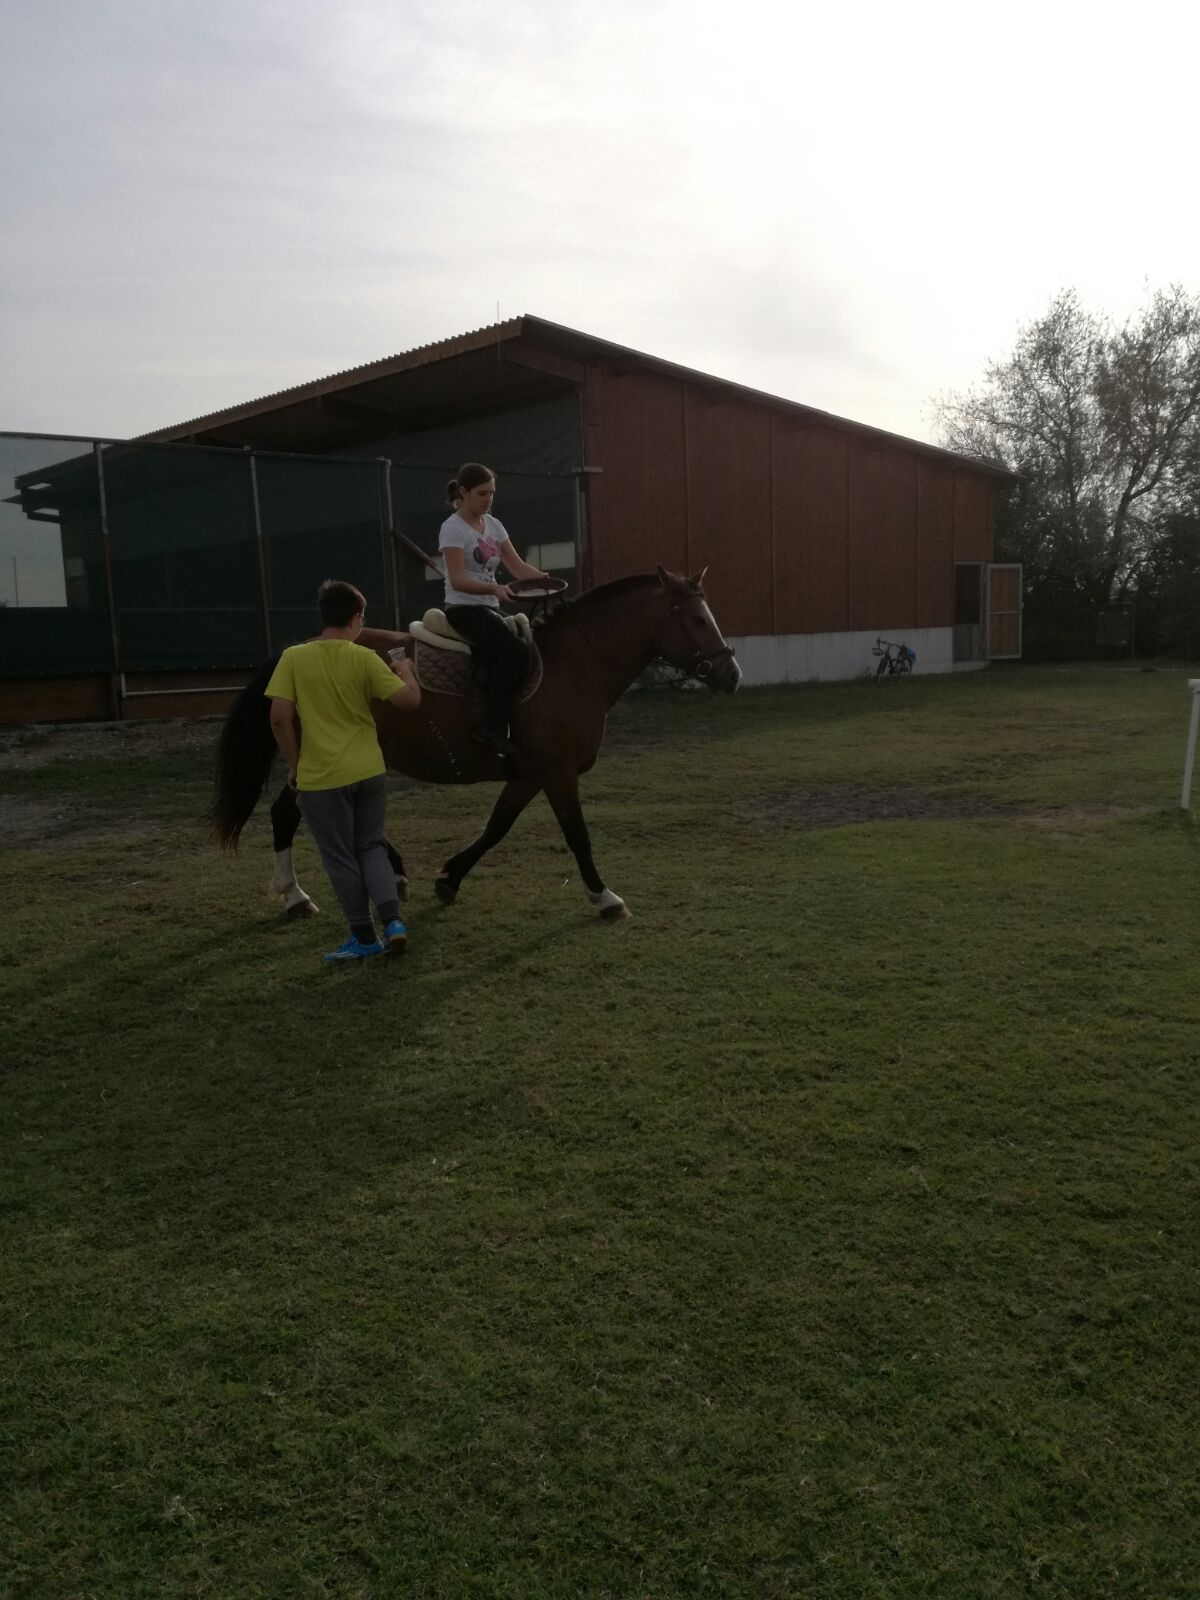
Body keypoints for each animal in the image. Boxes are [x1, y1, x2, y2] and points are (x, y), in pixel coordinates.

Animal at [211, 563, 748, 921]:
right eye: (698, 620)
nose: (732, 674)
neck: (573, 666)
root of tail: (293, 653)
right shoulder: (557, 773)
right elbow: (577, 834)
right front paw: (604, 897)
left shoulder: (529, 774)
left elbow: (496, 827)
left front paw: (449, 878)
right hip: (322, 759)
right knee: (290, 815)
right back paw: (296, 895)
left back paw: (380, 874)